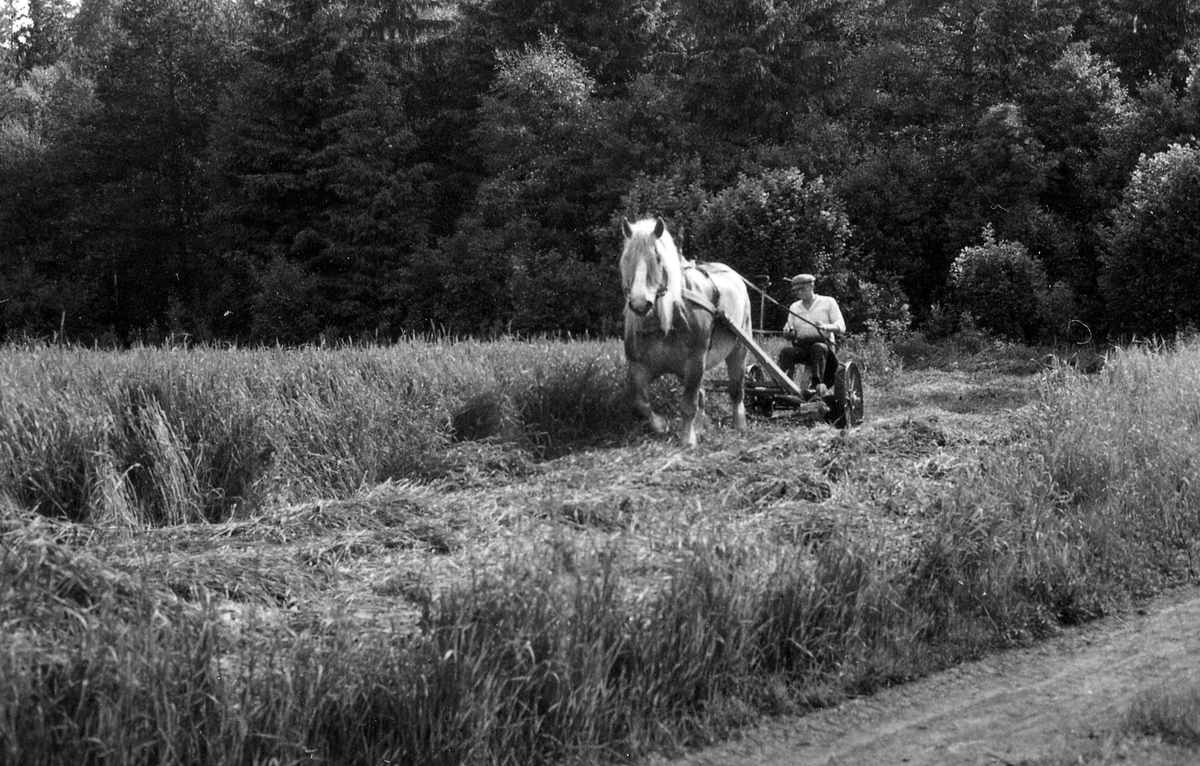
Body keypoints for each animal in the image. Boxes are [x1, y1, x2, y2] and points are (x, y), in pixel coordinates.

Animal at [619, 216, 748, 446]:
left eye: (658, 258)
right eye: (627, 258)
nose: (640, 304)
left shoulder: (695, 363)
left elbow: (689, 405)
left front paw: (687, 440)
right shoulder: (638, 366)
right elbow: (641, 404)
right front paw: (661, 426)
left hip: (739, 349)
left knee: (736, 389)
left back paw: (739, 424)